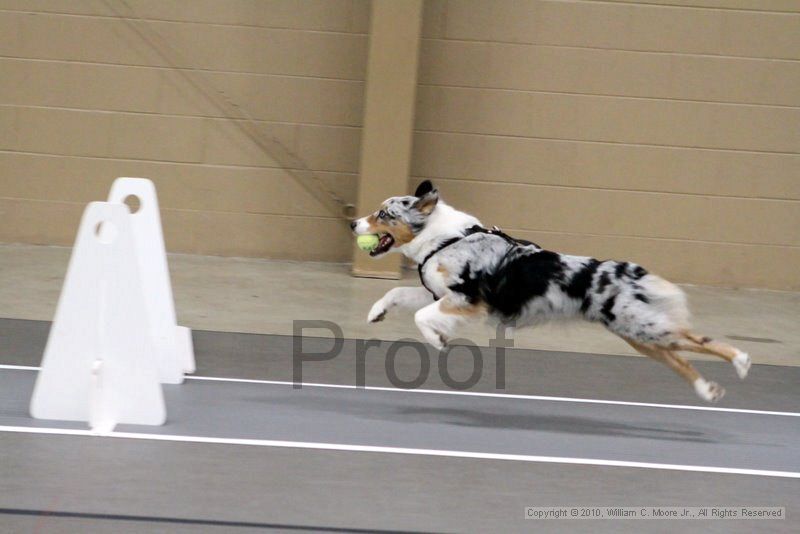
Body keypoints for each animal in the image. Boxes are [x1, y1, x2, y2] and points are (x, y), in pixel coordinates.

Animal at [350, 180, 752, 402]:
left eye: (384, 214)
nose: (353, 223)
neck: (445, 238)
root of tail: (622, 271)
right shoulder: (439, 293)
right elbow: (399, 296)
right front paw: (376, 312)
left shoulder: (467, 299)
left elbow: (421, 316)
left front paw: (437, 341)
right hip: (638, 334)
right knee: (679, 358)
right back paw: (708, 391)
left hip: (643, 327)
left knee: (697, 340)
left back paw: (742, 360)